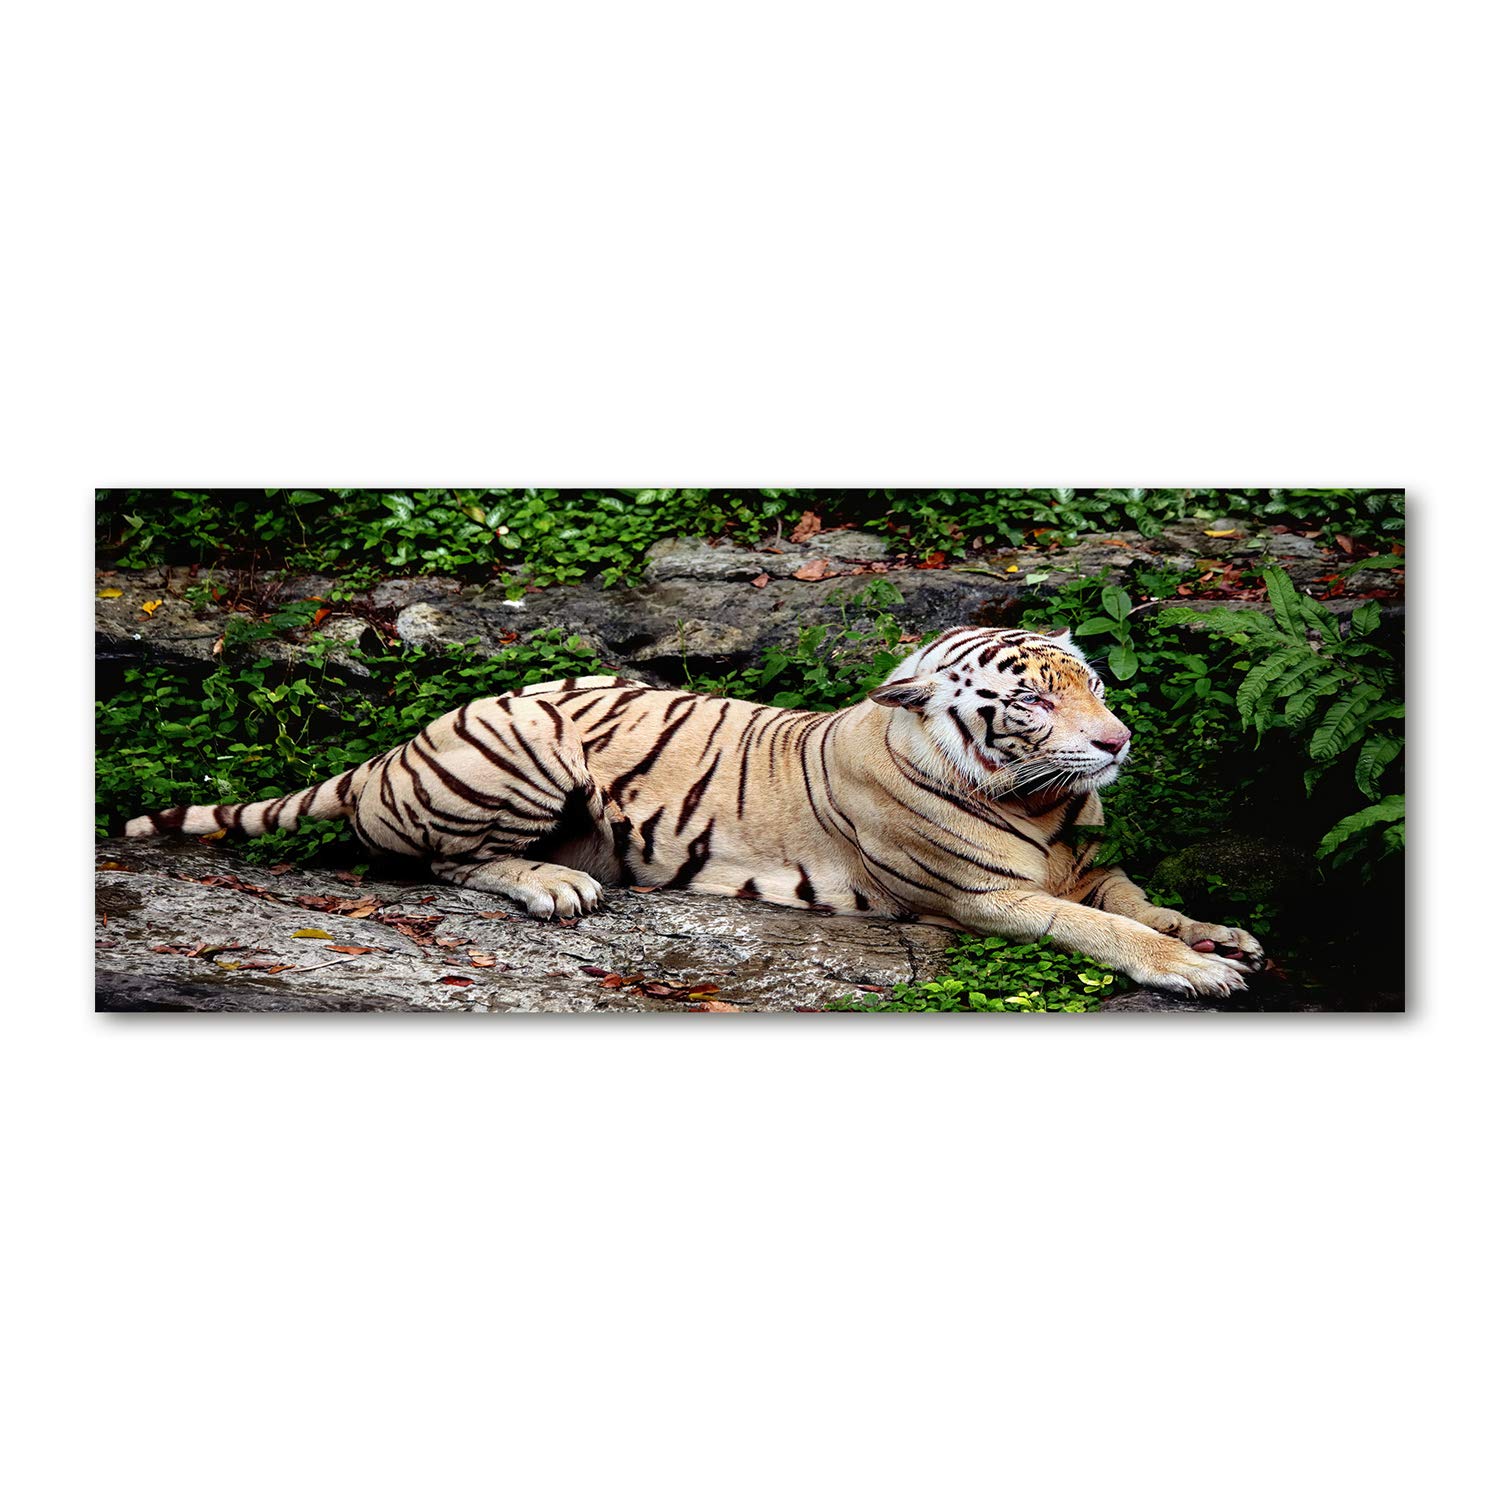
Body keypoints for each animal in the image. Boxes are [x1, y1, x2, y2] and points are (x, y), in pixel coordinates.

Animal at [124, 625, 1265, 999]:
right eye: (1030, 701)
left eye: (1091, 684)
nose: (1115, 742)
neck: (1047, 808)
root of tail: (387, 751)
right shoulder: (984, 899)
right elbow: (1105, 929)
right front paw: (1198, 970)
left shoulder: (1089, 863)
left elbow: (1140, 898)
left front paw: (1223, 932)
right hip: (525, 741)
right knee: (447, 864)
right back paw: (558, 883)